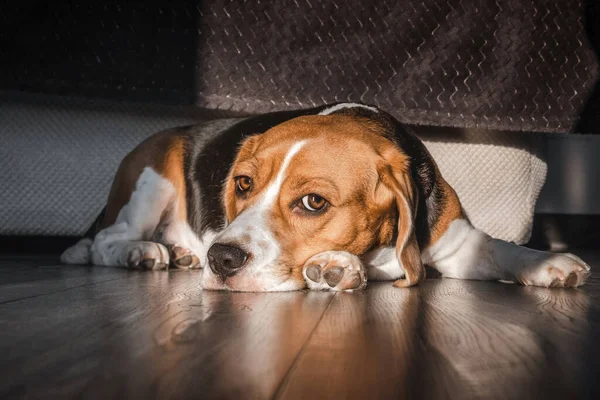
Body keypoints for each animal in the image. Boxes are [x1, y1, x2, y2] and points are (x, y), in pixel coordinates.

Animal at [62, 103, 592, 290]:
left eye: (313, 202)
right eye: (243, 184)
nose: (221, 260)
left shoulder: (456, 241)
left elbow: (502, 249)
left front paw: (550, 264)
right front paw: (339, 268)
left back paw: (181, 254)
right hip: (152, 178)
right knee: (106, 240)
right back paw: (144, 252)